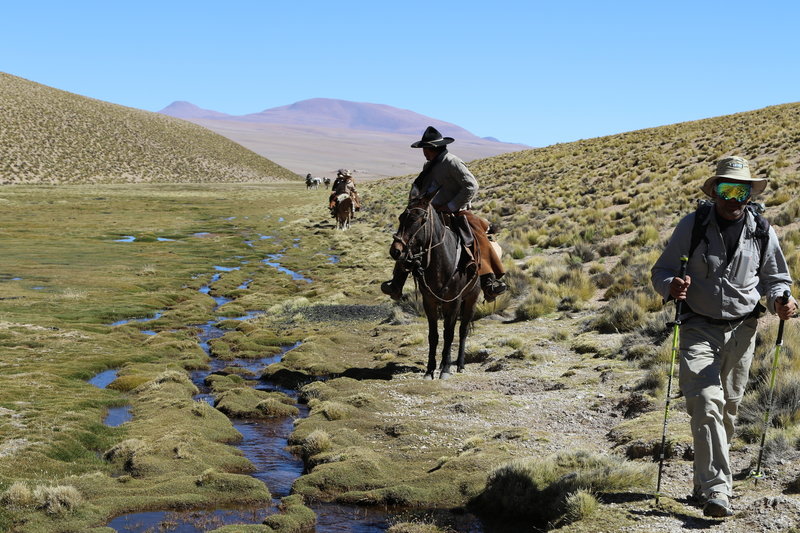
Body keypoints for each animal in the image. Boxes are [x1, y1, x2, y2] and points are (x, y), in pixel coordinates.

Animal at [390, 191, 478, 378]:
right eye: (401, 217)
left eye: (416, 219)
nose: (395, 251)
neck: (441, 262)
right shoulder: (429, 301)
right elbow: (434, 335)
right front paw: (430, 370)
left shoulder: (454, 302)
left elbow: (449, 334)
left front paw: (445, 369)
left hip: (471, 299)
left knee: (463, 330)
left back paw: (459, 365)